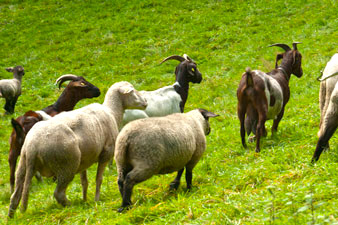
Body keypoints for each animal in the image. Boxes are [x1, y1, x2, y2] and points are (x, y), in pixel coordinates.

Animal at [7, 81, 147, 218]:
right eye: (132, 91)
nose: (145, 102)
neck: (112, 111)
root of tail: (32, 146)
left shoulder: (84, 161)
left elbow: (84, 182)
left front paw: (85, 200)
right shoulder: (106, 153)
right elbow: (99, 179)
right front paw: (96, 200)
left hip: (23, 165)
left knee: (15, 196)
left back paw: (11, 217)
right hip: (66, 166)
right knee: (58, 193)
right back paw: (71, 206)